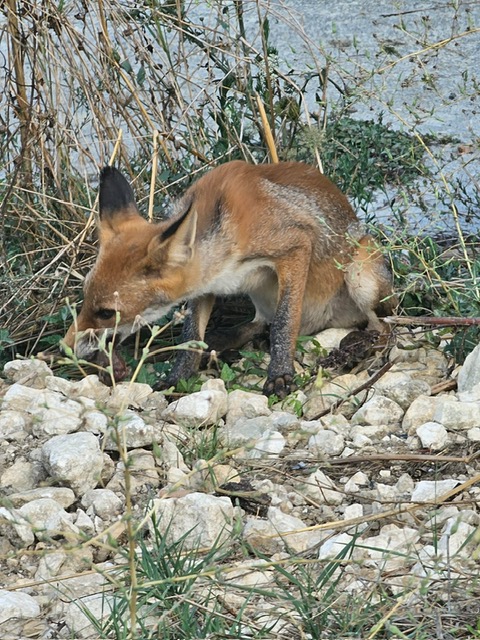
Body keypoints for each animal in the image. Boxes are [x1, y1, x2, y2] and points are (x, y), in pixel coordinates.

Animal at [63, 161, 394, 396]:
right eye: (84, 298)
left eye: (106, 313)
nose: (64, 348)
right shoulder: (204, 284)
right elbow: (191, 337)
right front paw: (178, 377)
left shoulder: (295, 246)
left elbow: (284, 323)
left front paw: (280, 374)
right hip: (262, 298)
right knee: (258, 324)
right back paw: (225, 340)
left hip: (361, 276)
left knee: (383, 325)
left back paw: (363, 345)